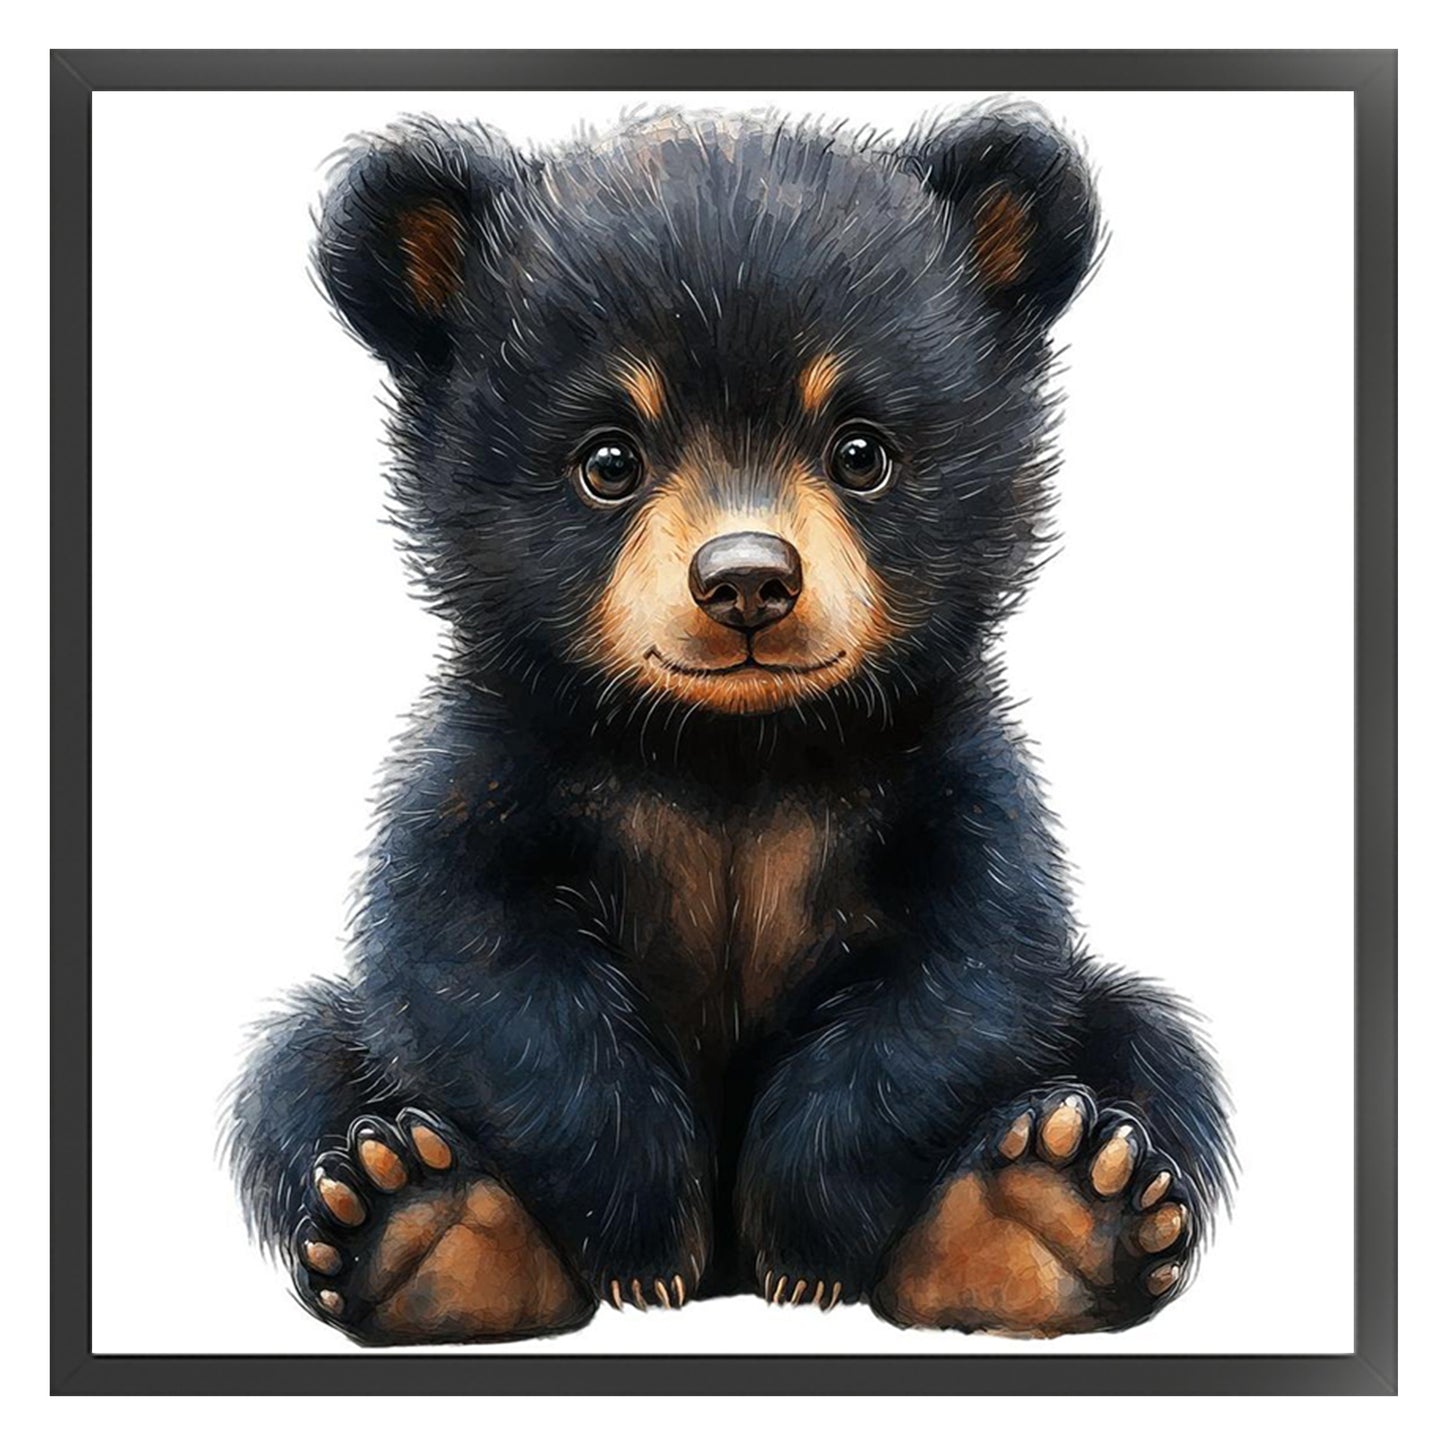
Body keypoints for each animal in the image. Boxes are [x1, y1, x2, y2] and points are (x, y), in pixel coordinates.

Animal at [226, 102, 1234, 1345]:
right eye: (608, 459)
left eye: (860, 450)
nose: (747, 579)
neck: (731, 744)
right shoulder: (496, 761)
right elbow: (474, 956)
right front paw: (643, 1239)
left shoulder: (948, 777)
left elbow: (964, 974)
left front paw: (804, 1246)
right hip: (344, 1051)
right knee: (298, 1065)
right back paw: (424, 1223)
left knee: (1149, 1046)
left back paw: (1046, 1208)